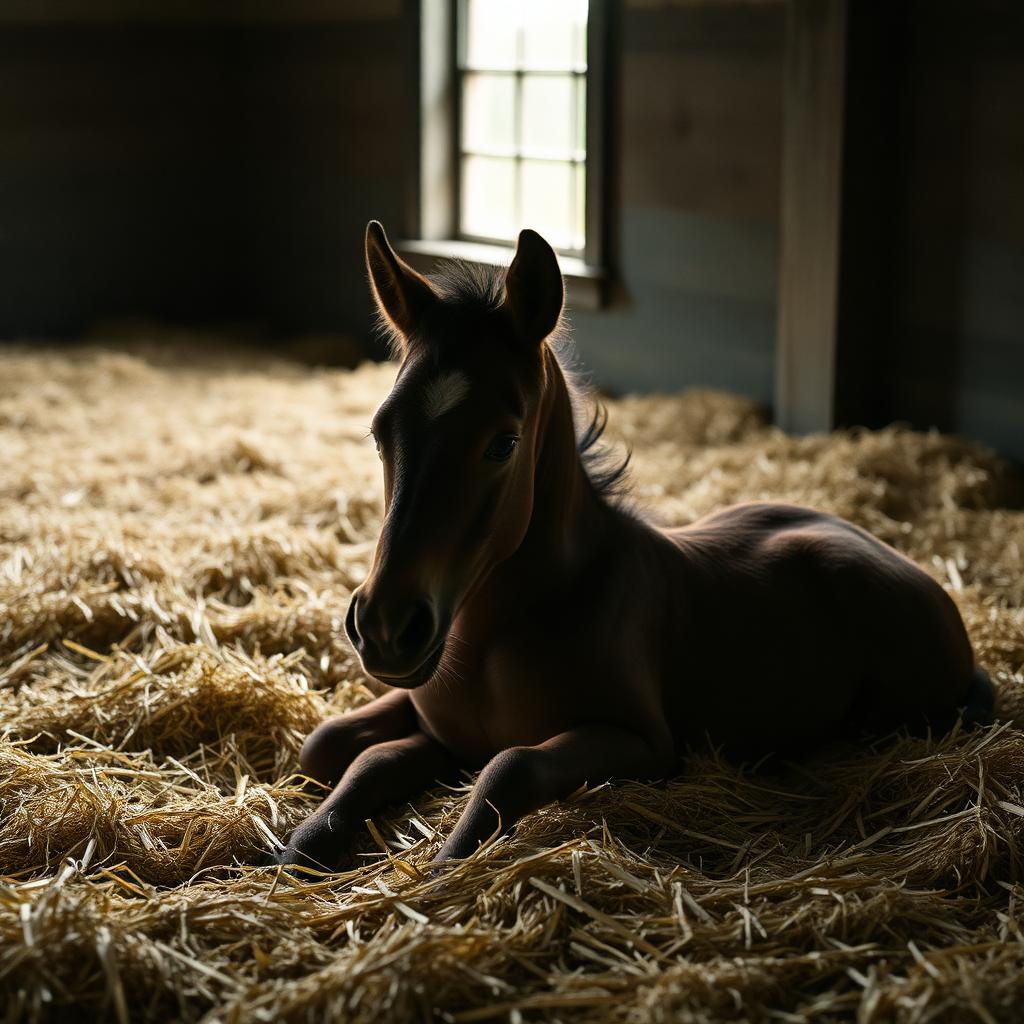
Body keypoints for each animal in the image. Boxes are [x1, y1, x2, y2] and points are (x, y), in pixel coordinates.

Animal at [276, 221, 995, 873]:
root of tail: (915, 572)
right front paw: (294, 853)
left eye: (503, 442)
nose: (386, 628)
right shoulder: (437, 725)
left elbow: (510, 767)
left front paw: (446, 864)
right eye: (380, 431)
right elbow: (338, 748)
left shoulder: (644, 744)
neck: (495, 639)